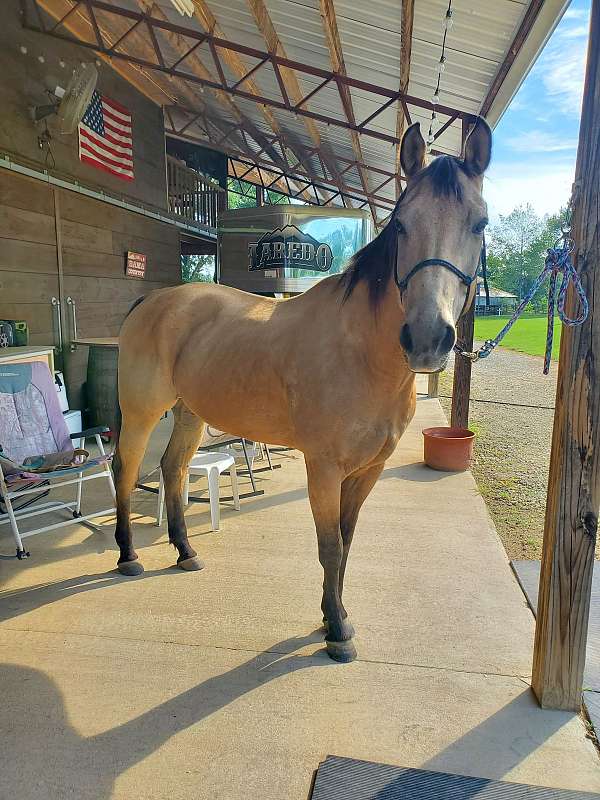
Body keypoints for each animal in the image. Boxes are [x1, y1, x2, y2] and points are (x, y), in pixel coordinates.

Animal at [112, 117, 492, 664]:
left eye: (479, 224)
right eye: (401, 224)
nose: (426, 339)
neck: (362, 354)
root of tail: (152, 300)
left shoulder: (368, 470)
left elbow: (347, 542)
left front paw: (335, 614)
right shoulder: (325, 467)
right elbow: (329, 546)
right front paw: (336, 631)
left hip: (189, 412)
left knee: (174, 469)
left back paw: (186, 552)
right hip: (143, 411)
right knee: (125, 469)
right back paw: (128, 556)